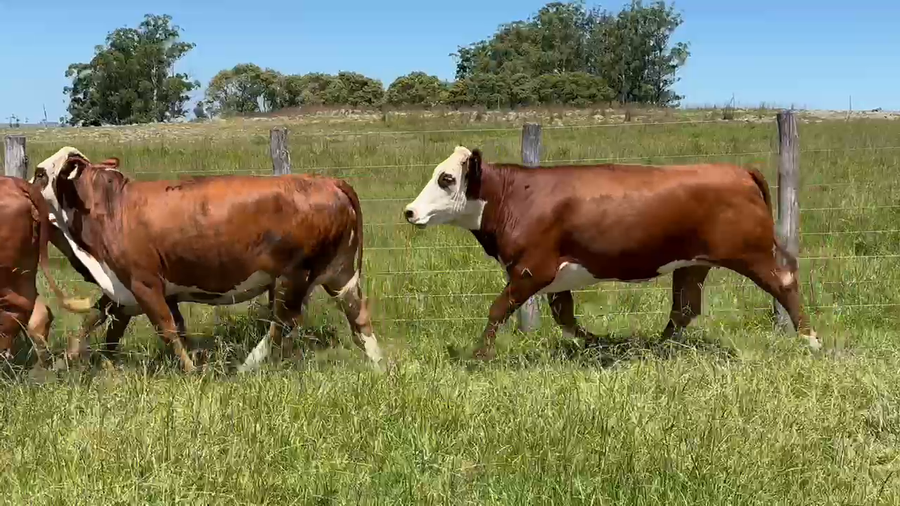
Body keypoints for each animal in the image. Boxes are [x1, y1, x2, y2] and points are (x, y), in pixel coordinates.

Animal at [30, 147, 383, 373]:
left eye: (39, 174)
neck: (110, 209)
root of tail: (327, 180)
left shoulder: (143, 282)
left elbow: (167, 330)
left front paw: (190, 370)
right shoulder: (128, 289)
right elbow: (100, 321)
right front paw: (74, 361)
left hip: (294, 275)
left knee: (283, 323)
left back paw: (246, 367)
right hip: (339, 272)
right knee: (357, 316)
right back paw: (380, 366)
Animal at [403, 146, 821, 360]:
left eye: (447, 179)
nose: (409, 211)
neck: (515, 196)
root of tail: (739, 170)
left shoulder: (531, 270)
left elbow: (498, 309)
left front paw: (478, 356)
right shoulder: (555, 277)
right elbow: (565, 317)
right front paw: (600, 343)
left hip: (752, 254)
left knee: (784, 282)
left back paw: (810, 340)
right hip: (692, 263)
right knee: (684, 309)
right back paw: (654, 347)